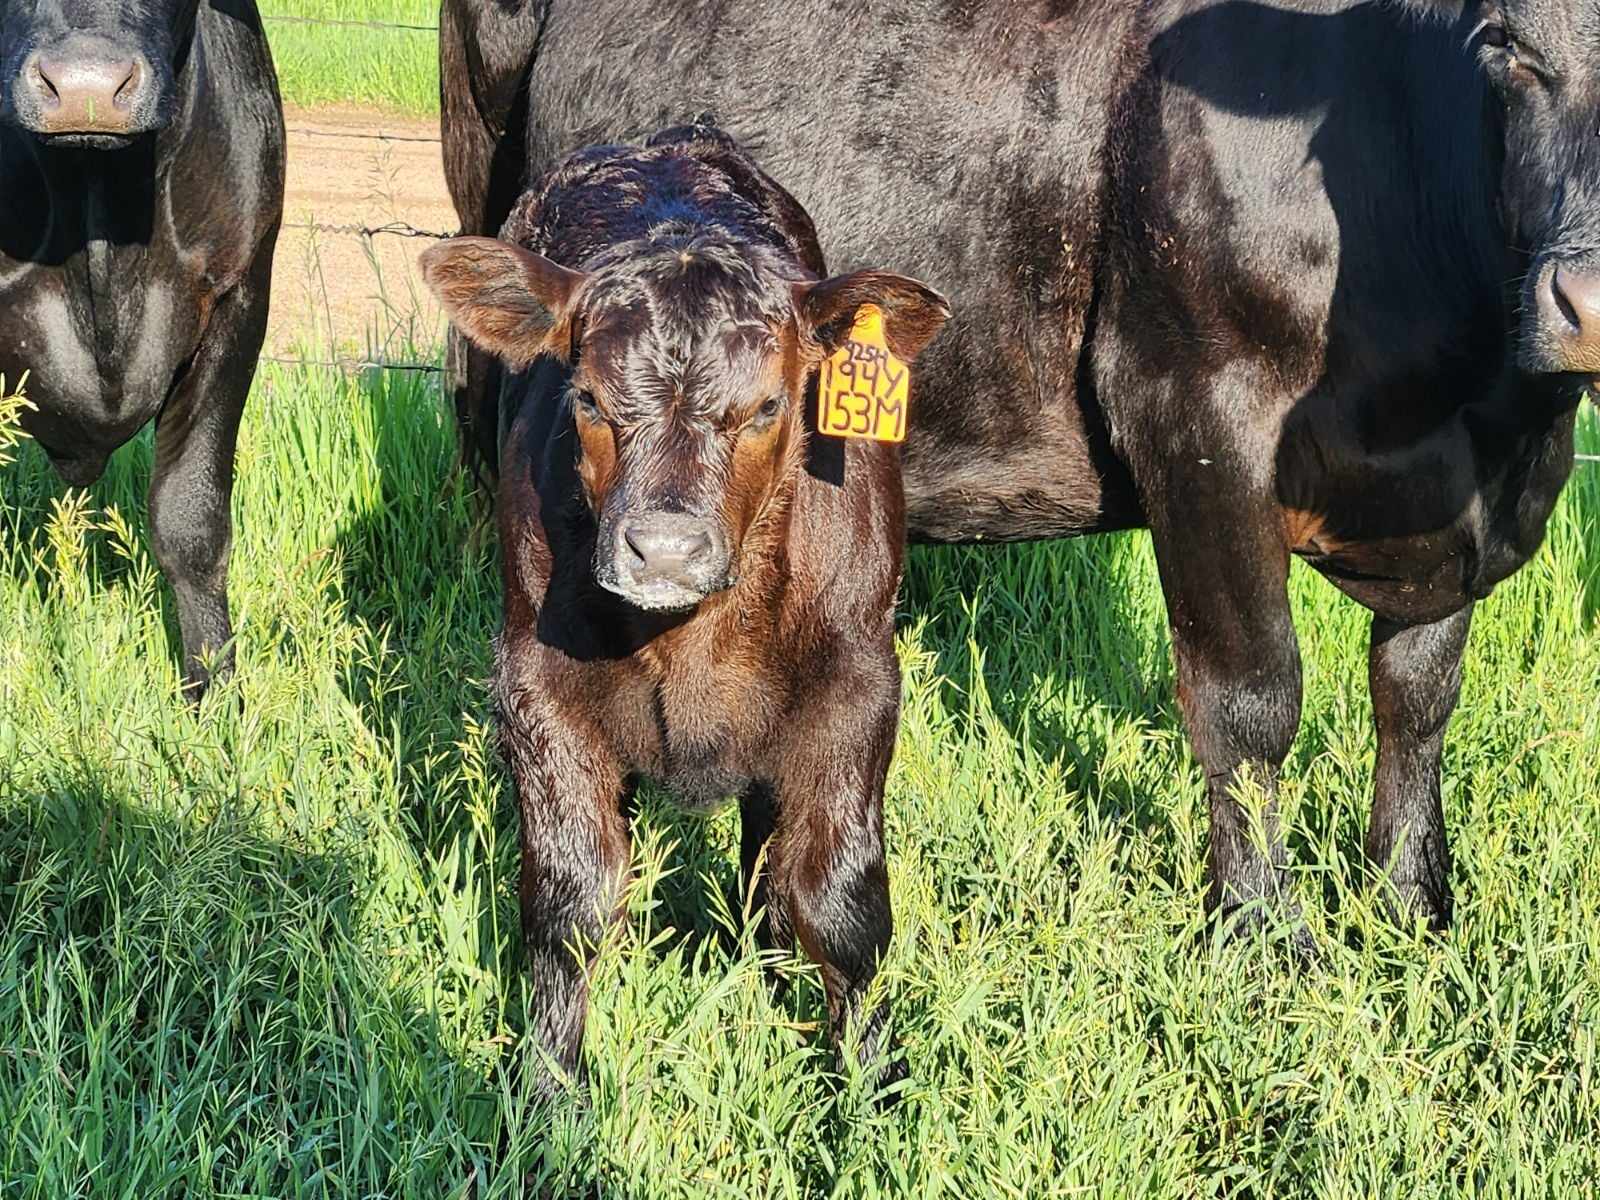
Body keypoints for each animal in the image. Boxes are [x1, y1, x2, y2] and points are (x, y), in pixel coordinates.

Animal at [419, 126, 949, 1091]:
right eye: (588, 398)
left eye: (770, 405)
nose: (663, 549)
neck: (694, 641)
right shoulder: (535, 689)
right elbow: (571, 898)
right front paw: (548, 1091)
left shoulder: (859, 688)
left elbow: (841, 902)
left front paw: (870, 1087)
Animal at [438, 0, 1600, 941]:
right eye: (1511, 44)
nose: (1586, 303)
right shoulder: (1196, 412)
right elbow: (1250, 700)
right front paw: (1265, 937)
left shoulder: (1459, 506)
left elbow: (1417, 696)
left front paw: (1412, 906)